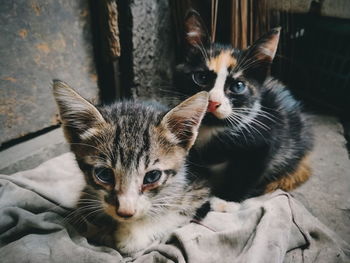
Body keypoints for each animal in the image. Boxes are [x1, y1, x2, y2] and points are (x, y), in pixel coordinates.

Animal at [52, 81, 211, 258]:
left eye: (152, 176)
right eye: (104, 174)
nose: (125, 212)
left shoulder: (199, 187)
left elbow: (177, 211)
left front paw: (132, 235)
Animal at [175, 9, 314, 201]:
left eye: (238, 86)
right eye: (201, 77)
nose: (213, 102)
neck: (213, 127)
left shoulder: (266, 138)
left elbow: (245, 175)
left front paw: (225, 200)